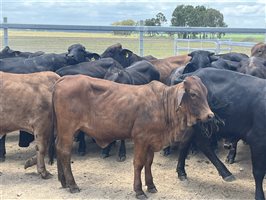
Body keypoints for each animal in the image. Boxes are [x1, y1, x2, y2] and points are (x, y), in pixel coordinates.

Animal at [50, 75, 214, 198]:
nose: (210, 115)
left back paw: (63, 181)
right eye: (193, 94)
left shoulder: (151, 141)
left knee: (58, 147)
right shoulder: (140, 139)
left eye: (206, 93)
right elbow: (139, 164)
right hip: (68, 129)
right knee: (64, 151)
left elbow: (148, 163)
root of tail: (63, 79)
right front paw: (139, 190)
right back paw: (72, 184)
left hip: (63, 130)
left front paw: (151, 185)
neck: (162, 104)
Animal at [175, 68, 266, 199]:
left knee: (185, 143)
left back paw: (181, 172)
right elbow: (259, 171)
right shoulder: (258, 140)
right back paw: (225, 173)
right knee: (203, 145)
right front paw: (259, 195)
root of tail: (191, 74)